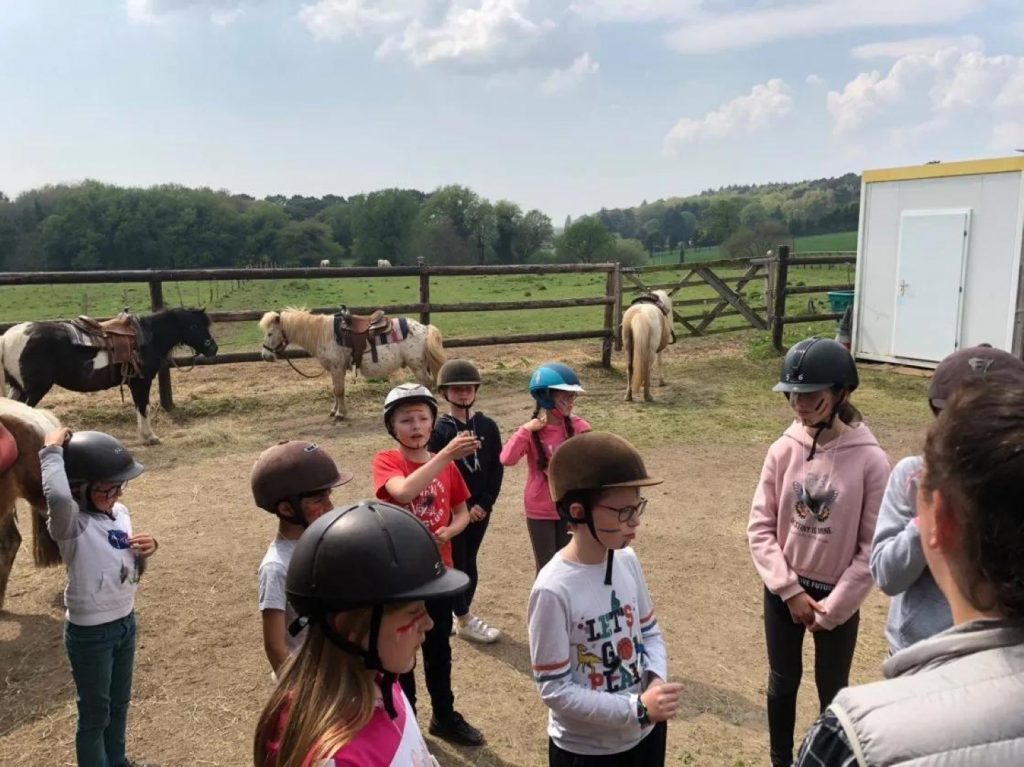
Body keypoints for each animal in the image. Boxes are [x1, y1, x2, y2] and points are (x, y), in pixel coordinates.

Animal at [0, 308, 218, 445]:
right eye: (195, 326)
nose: (213, 348)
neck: (147, 338)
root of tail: (8, 337)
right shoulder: (141, 382)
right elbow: (143, 407)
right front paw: (150, 437)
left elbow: (139, 407)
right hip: (35, 389)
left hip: (17, 388)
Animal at [259, 308, 446, 420]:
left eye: (269, 333)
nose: (265, 355)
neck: (324, 334)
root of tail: (425, 328)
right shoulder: (334, 370)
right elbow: (335, 390)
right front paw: (334, 411)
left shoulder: (337, 368)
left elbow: (339, 391)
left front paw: (341, 414)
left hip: (418, 366)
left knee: (427, 383)